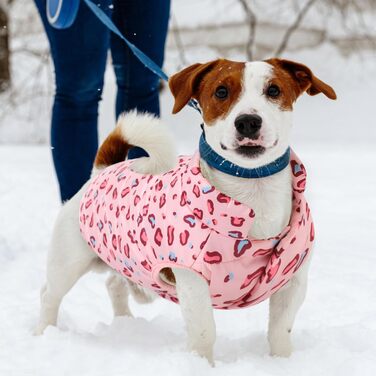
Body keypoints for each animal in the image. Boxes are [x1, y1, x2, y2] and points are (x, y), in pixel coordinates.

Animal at [34, 57, 334, 362]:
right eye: (221, 91)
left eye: (273, 90)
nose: (248, 122)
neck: (252, 190)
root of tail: (101, 170)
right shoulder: (192, 281)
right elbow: (204, 332)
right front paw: (201, 364)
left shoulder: (293, 281)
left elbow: (280, 329)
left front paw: (281, 361)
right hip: (68, 260)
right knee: (49, 295)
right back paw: (42, 334)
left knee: (114, 284)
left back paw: (125, 322)